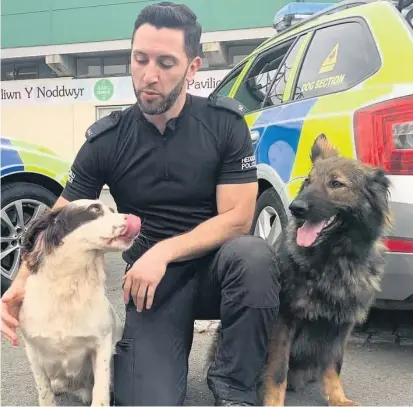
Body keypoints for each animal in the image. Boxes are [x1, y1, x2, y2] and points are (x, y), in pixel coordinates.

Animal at [17, 199, 141, 406]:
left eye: (112, 209)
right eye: (95, 209)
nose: (137, 219)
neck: (70, 290)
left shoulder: (102, 344)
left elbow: (100, 392)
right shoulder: (33, 350)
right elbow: (45, 392)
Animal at [262, 135, 392, 407]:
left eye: (336, 183)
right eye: (308, 181)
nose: (296, 207)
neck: (333, 258)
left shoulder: (341, 325)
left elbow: (334, 364)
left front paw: (338, 398)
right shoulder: (284, 320)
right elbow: (277, 372)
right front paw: (273, 402)